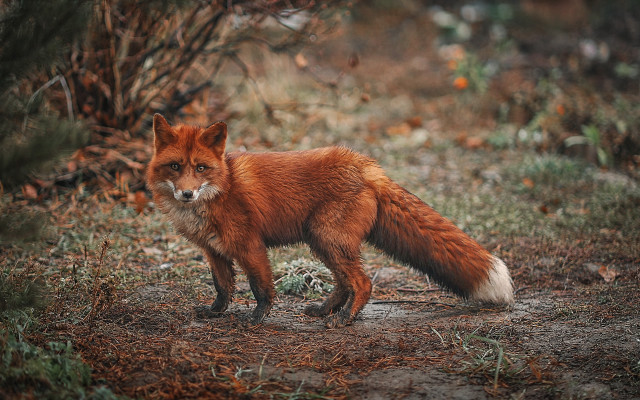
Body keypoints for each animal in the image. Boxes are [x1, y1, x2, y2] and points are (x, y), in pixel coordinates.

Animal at [146, 114, 514, 328]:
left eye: (201, 168)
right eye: (176, 167)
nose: (187, 194)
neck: (222, 187)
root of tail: (366, 165)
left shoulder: (250, 245)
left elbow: (261, 287)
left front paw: (257, 318)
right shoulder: (214, 251)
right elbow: (223, 287)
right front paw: (215, 313)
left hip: (327, 238)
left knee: (362, 283)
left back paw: (347, 318)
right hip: (322, 242)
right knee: (344, 283)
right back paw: (326, 311)